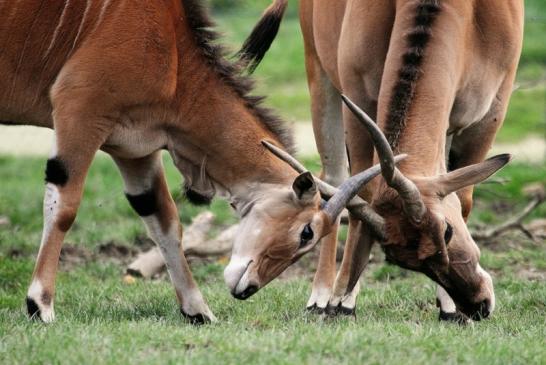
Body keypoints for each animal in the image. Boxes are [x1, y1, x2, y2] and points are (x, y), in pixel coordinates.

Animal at [1, 0, 382, 324]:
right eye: (306, 232)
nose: (247, 290)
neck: (173, 53)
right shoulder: (80, 114)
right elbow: (64, 208)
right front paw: (40, 305)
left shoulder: (134, 149)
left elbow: (166, 221)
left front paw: (197, 310)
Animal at [239, 0, 524, 320]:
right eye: (408, 262)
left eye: (447, 231)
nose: (478, 305)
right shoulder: (359, 101)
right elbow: (362, 191)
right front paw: (342, 301)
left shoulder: (488, 116)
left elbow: (463, 199)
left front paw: (450, 309)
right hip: (319, 71)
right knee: (334, 178)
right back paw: (321, 297)